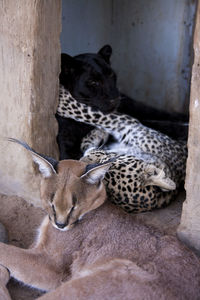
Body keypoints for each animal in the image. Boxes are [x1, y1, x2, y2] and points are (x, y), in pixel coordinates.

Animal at [55, 83, 187, 212]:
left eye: (107, 164)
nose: (80, 161)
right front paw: (98, 134)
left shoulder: (125, 124)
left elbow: (89, 113)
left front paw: (61, 94)